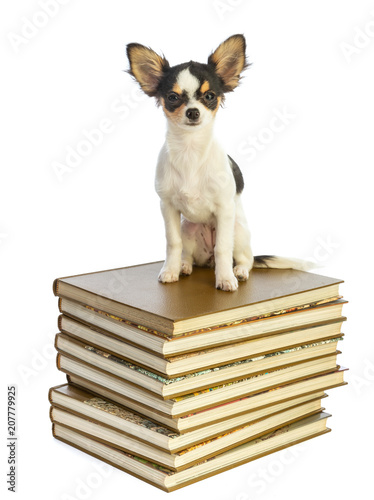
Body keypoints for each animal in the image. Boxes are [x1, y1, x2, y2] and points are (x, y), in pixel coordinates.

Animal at [125, 35, 310, 292]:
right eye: (173, 98)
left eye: (210, 96)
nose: (193, 112)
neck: (190, 151)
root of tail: (207, 261)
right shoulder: (168, 207)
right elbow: (172, 243)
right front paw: (170, 271)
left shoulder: (224, 210)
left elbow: (223, 248)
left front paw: (225, 280)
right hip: (188, 227)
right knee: (188, 254)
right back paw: (184, 266)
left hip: (238, 231)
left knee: (244, 259)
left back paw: (238, 271)